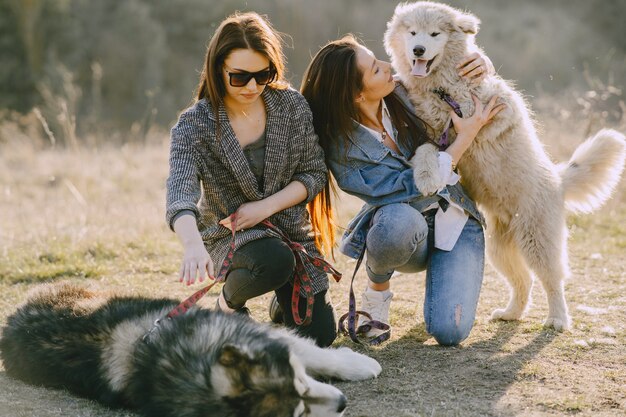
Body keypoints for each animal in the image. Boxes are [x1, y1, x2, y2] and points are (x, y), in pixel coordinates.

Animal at [382, 1, 620, 330]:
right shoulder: (427, 134)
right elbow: (428, 150)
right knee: (524, 281)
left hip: (537, 240)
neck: (440, 88)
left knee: (552, 280)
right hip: (500, 249)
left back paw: (557, 318)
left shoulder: (483, 111)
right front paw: (427, 176)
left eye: (434, 34)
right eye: (412, 32)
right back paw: (511, 313)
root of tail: (558, 179)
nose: (418, 49)